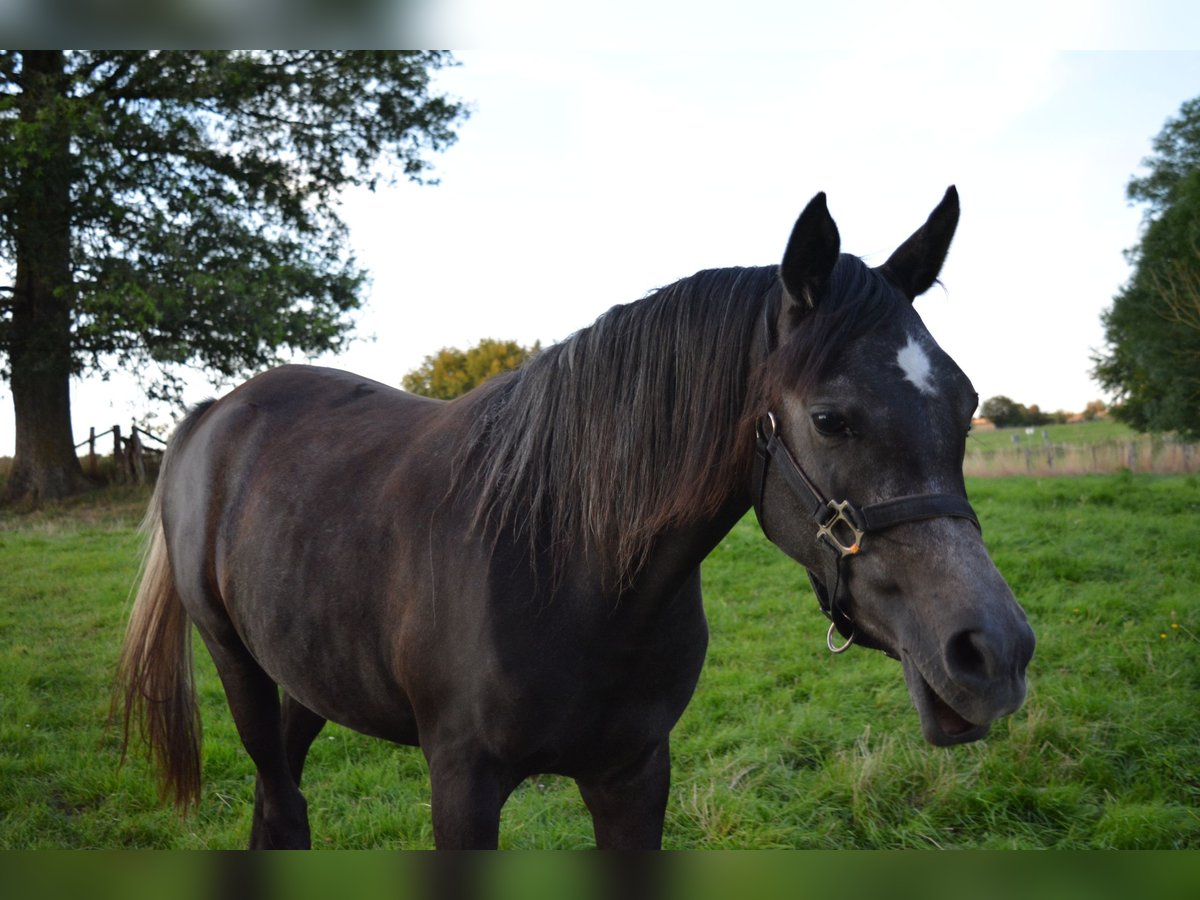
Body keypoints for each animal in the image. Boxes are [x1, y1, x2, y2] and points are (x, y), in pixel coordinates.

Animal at [119, 187, 1032, 849]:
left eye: (966, 405)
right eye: (832, 418)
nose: (996, 652)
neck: (567, 565)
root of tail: (213, 414)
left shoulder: (635, 776)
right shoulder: (462, 787)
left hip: (313, 672)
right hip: (238, 663)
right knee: (281, 804)